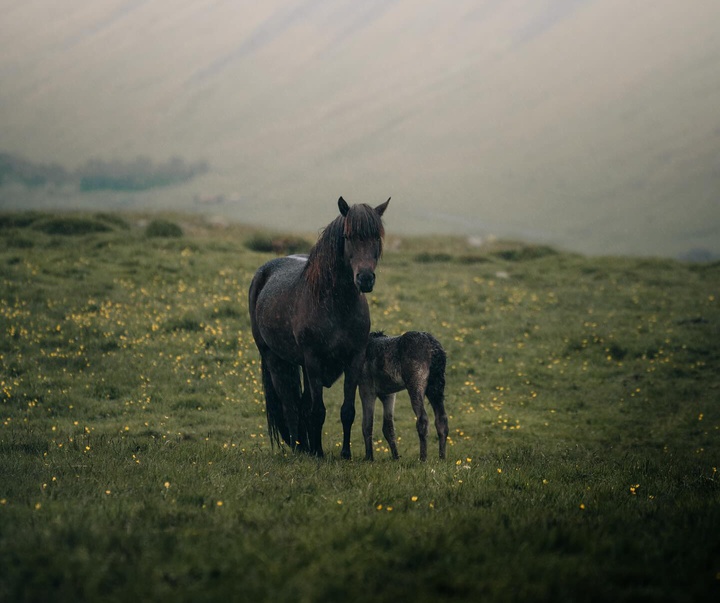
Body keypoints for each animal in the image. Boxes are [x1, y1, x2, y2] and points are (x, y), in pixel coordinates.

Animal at [250, 198, 390, 458]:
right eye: (348, 236)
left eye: (376, 236)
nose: (365, 279)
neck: (337, 305)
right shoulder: (313, 360)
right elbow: (318, 410)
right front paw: (319, 453)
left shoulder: (354, 359)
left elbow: (347, 411)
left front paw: (345, 454)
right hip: (274, 359)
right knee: (290, 405)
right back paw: (299, 448)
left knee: (301, 403)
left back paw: (305, 446)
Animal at [360, 332, 450, 460]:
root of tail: (434, 346)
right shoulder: (388, 393)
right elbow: (388, 427)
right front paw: (396, 457)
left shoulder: (366, 388)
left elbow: (367, 424)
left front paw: (369, 458)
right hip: (436, 388)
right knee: (442, 419)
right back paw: (442, 458)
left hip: (416, 385)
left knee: (423, 419)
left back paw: (423, 459)